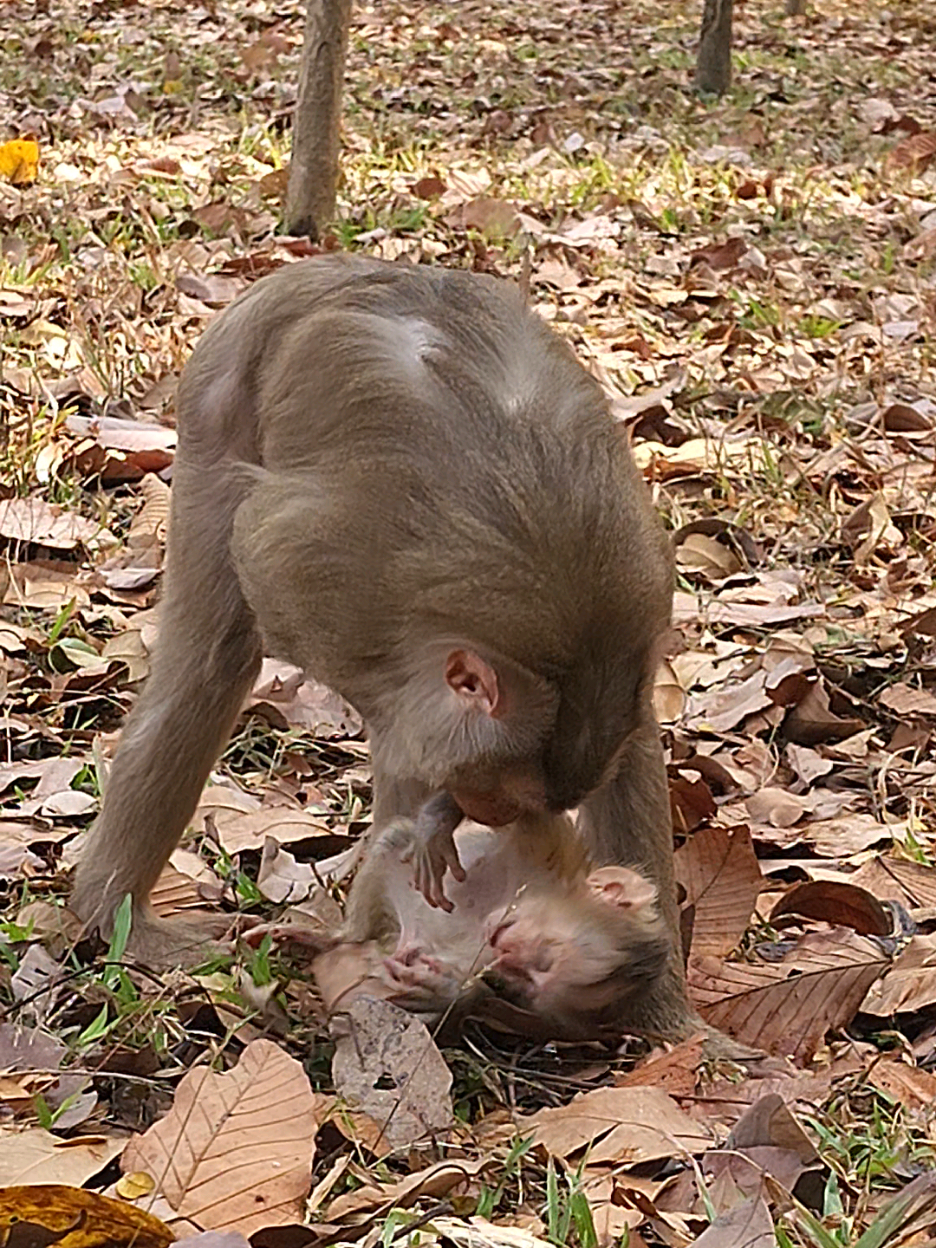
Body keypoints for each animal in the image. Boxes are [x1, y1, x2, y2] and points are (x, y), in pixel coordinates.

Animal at [314, 812, 669, 1040]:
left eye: (525, 977)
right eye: (546, 955)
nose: (506, 950)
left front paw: (456, 993)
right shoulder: (554, 847)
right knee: (396, 841)